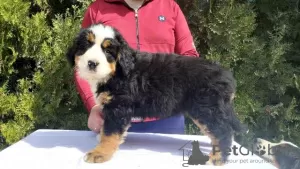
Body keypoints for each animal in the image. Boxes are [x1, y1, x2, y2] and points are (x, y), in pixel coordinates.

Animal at [65, 22, 246, 166]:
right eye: (86, 46)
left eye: (108, 51)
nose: (92, 63)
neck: (117, 72)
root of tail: (227, 75)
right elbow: (106, 130)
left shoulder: (118, 107)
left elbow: (110, 133)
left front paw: (100, 153)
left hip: (207, 109)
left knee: (224, 131)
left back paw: (217, 158)